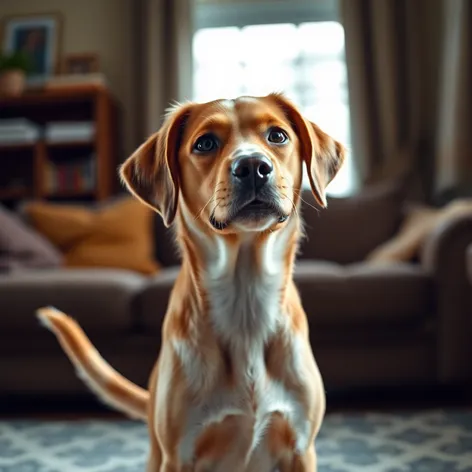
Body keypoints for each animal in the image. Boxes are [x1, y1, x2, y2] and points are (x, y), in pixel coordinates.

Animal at [37, 93, 344, 472]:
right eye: (205, 143)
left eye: (277, 135)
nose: (252, 166)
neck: (245, 298)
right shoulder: (179, 455)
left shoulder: (301, 448)